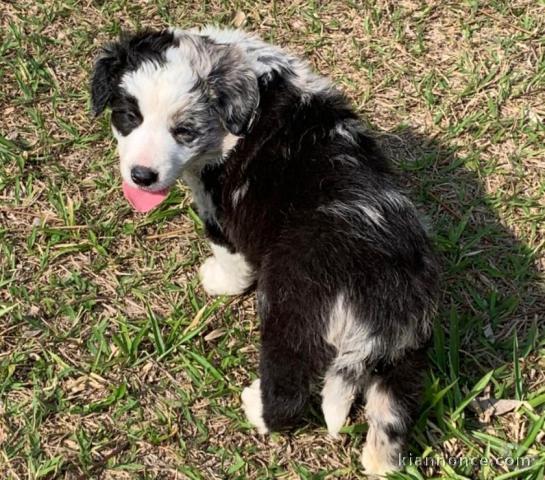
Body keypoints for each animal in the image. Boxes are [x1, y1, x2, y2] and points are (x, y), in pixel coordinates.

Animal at [89, 27, 438, 476]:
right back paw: (379, 465)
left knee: (289, 391)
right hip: (403, 355)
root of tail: (381, 300)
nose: (142, 176)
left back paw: (255, 407)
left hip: (292, 318)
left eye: (184, 130)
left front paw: (216, 281)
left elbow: (228, 255)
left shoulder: (220, 212)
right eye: (129, 116)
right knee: (392, 414)